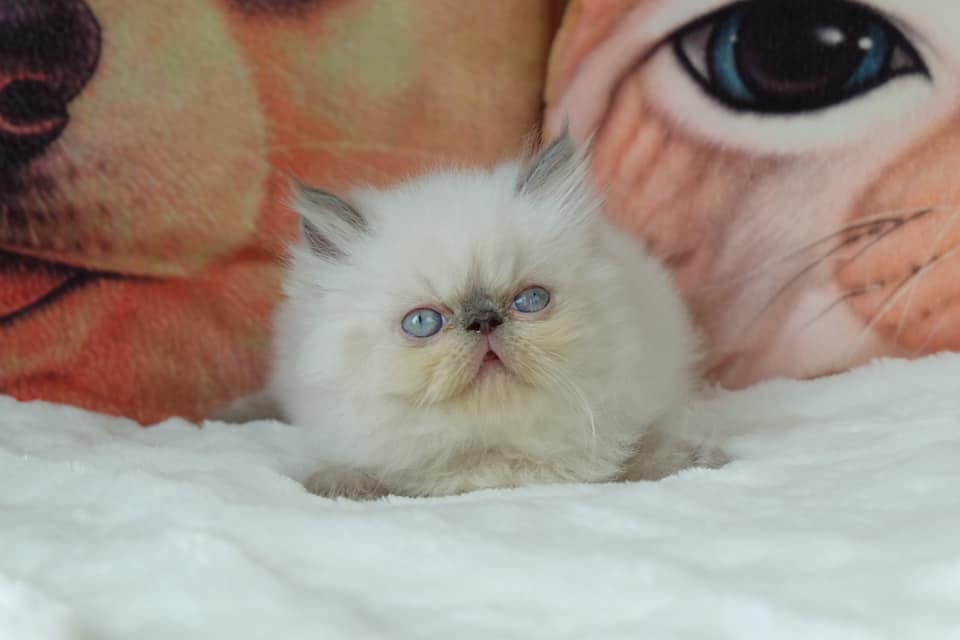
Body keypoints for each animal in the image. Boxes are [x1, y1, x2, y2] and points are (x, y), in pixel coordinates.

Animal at [232, 134, 727, 499]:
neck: (493, 454)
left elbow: (638, 455)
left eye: (530, 300)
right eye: (422, 323)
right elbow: (365, 470)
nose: (484, 320)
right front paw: (338, 485)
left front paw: (698, 461)